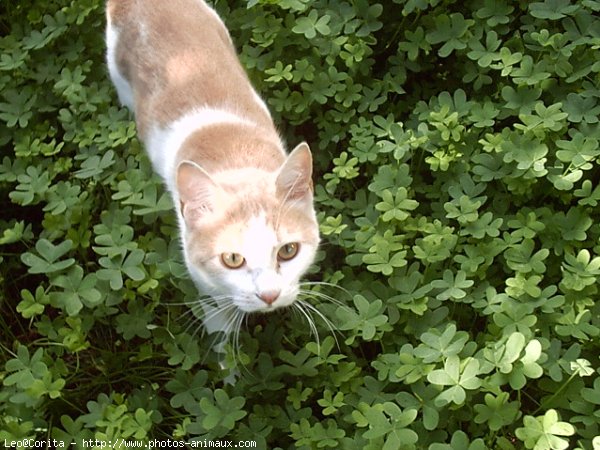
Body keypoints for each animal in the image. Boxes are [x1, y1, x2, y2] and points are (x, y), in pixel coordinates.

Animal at [105, 0, 322, 342]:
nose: (270, 296)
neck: (234, 155)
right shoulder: (201, 274)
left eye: (288, 251)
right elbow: (219, 319)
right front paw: (224, 353)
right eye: (232, 259)